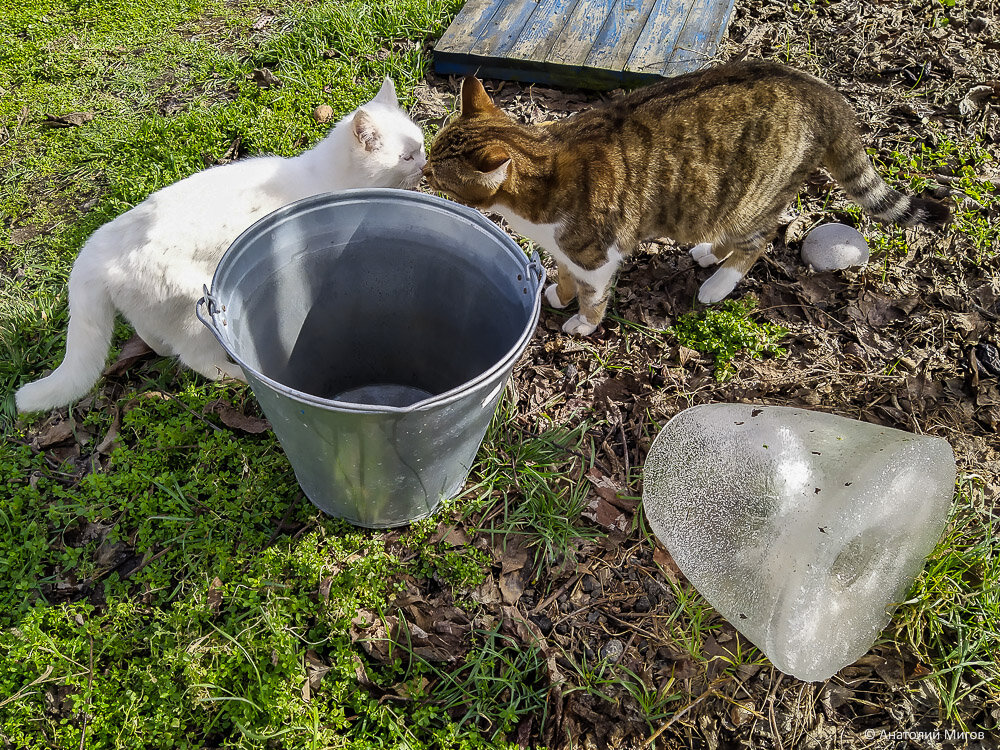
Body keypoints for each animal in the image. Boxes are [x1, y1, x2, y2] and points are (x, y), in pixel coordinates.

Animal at [17, 78, 426, 412]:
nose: (424, 164)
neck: (327, 176)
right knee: (195, 359)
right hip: (193, 315)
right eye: (406, 156)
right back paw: (237, 378)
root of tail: (93, 249)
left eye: (421, 145)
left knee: (154, 338)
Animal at [426, 61, 948, 334]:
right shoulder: (566, 250)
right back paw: (707, 253)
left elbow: (593, 294)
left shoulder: (598, 255)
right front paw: (559, 292)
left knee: (760, 238)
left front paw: (583, 322)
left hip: (747, 197)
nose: (422, 171)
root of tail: (823, 90)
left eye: (438, 176)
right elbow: (566, 274)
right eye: (429, 158)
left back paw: (718, 282)